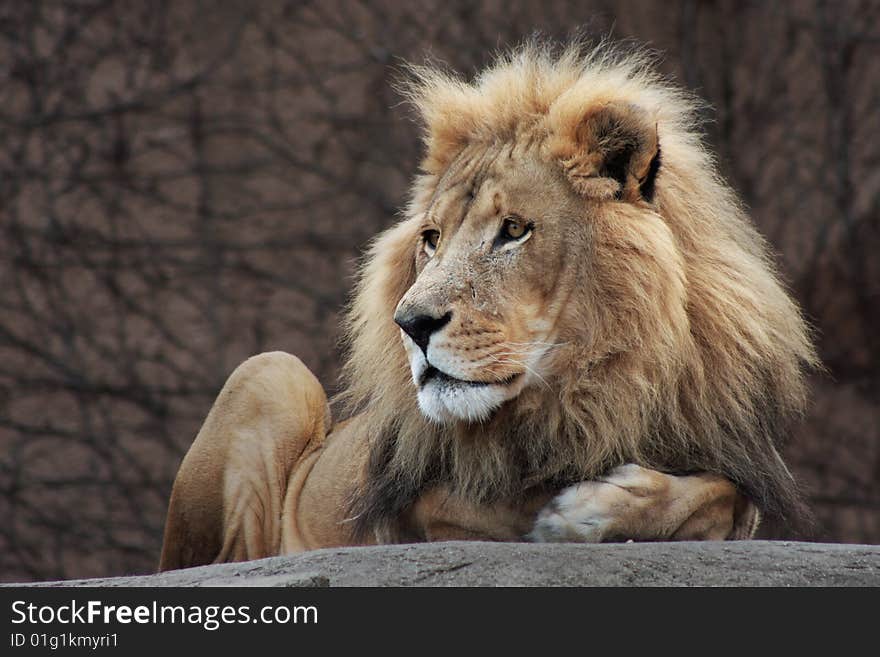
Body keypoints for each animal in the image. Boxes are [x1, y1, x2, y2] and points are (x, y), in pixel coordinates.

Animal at [158, 43, 820, 572]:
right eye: (431, 238)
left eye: (514, 230)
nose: (411, 324)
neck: (594, 387)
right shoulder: (431, 502)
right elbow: (513, 503)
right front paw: (575, 512)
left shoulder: (730, 459)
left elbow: (721, 497)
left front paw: (595, 509)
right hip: (272, 372)